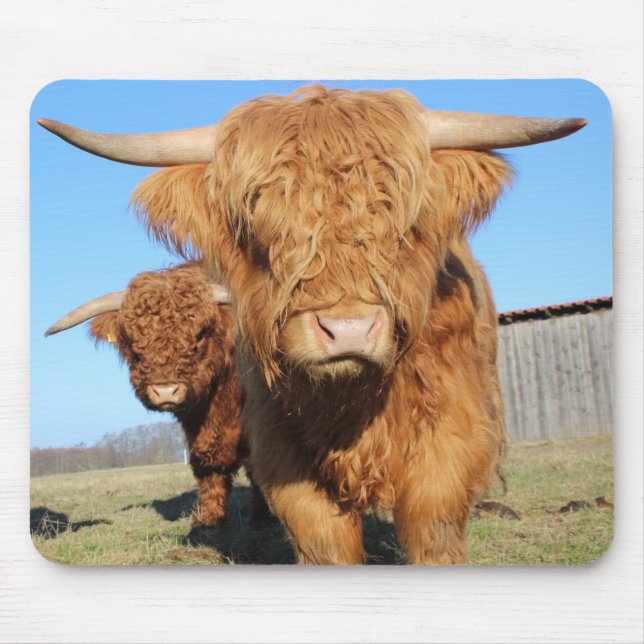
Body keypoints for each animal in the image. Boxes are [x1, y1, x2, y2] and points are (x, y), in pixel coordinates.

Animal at [46, 262, 261, 529]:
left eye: (201, 334)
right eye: (132, 341)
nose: (166, 391)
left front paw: (261, 519)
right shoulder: (199, 435)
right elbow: (208, 470)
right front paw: (206, 521)